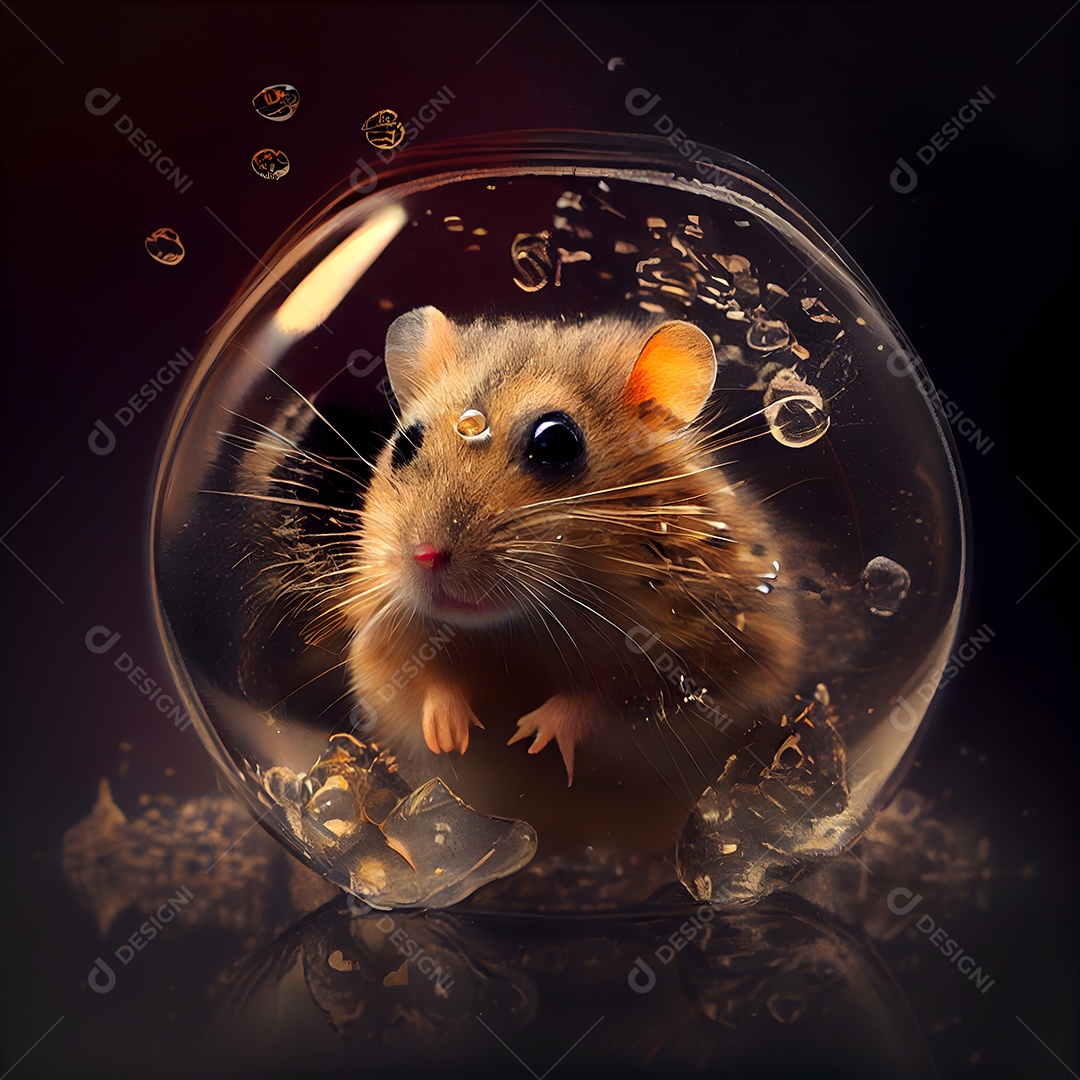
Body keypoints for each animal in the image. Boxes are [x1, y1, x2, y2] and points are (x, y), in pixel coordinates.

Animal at [342, 306, 802, 784]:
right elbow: (427, 679)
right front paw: (451, 738)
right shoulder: (381, 638)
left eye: (555, 442)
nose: (425, 556)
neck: (517, 629)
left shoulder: (706, 665)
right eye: (404, 442)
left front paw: (530, 738)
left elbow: (607, 698)